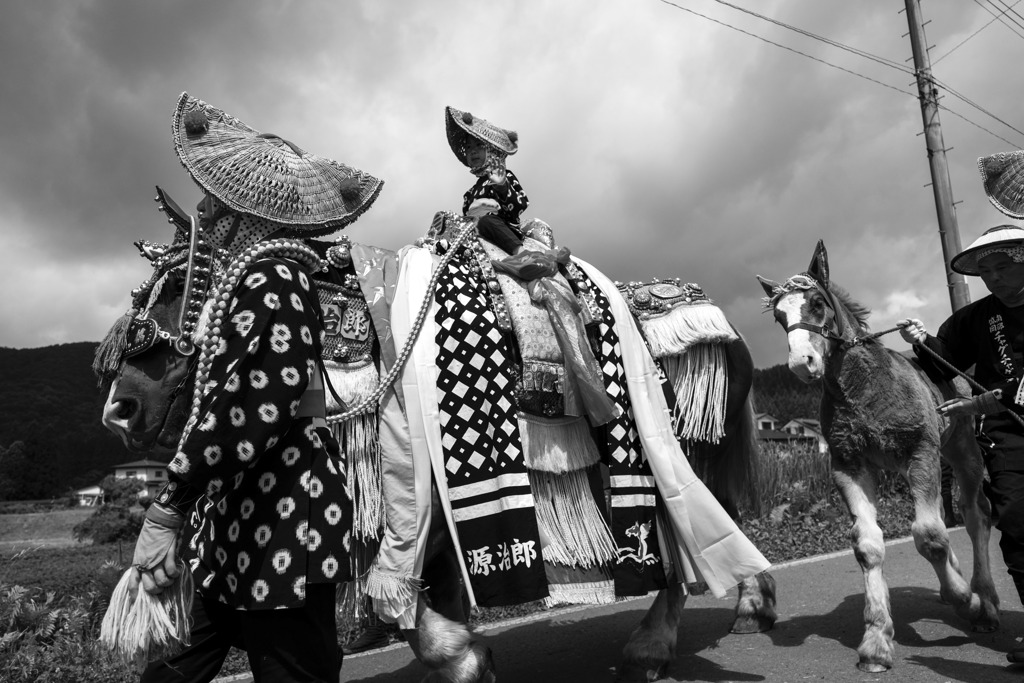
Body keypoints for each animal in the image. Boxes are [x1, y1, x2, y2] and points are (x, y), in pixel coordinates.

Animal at [99, 93, 774, 679]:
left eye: (172, 288)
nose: (122, 410)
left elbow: (413, 602)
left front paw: (461, 656)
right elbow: (422, 587)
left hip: (682, 446)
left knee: (685, 538)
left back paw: (656, 644)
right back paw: (754, 600)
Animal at [757, 240, 995, 671]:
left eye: (817, 303)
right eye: (780, 317)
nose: (802, 363)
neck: (865, 390)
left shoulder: (921, 452)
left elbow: (930, 536)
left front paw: (967, 601)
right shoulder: (848, 466)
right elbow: (867, 545)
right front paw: (876, 641)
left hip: (962, 450)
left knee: (975, 516)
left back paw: (985, 600)